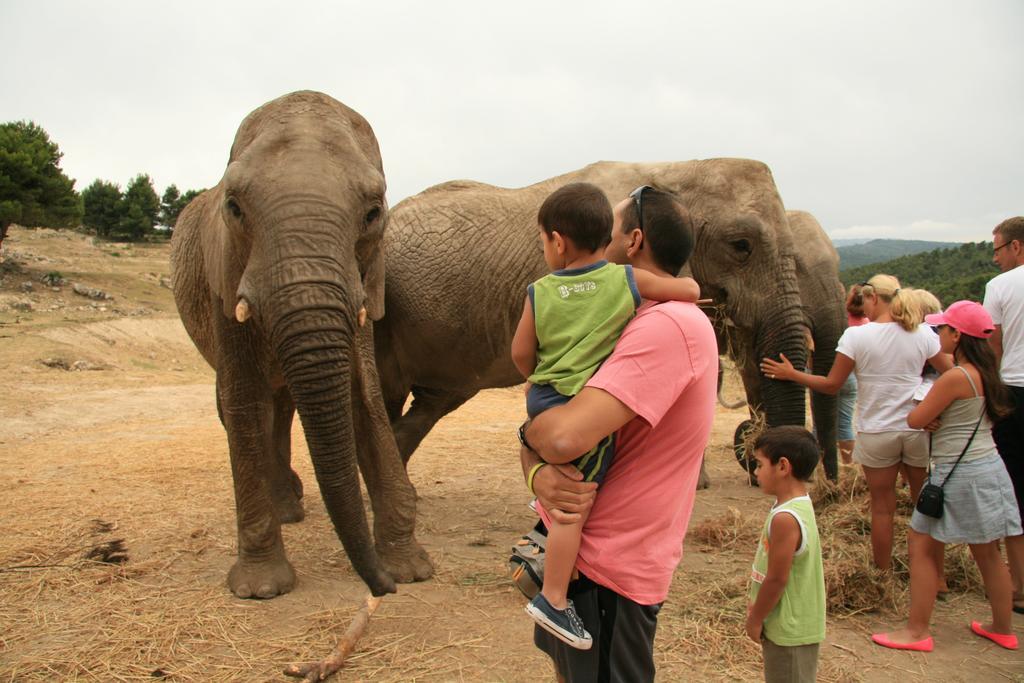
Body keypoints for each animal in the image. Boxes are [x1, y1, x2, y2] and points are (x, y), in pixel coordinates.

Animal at [171, 90, 432, 598]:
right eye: (234, 207)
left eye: (374, 212)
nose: (381, 590)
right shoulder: (223, 276)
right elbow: (243, 401)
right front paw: (261, 589)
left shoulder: (364, 282)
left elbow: (361, 396)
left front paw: (410, 569)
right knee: (245, 407)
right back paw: (285, 511)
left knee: (283, 403)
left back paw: (290, 507)